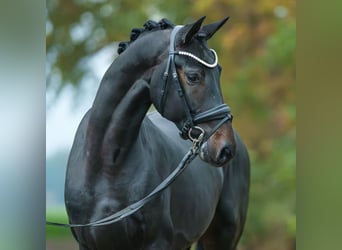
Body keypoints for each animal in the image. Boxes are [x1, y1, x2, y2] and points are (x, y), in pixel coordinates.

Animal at [64, 16, 250, 249]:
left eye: (219, 72)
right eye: (193, 76)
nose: (225, 148)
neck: (107, 165)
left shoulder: (157, 242)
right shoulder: (87, 244)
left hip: (224, 237)